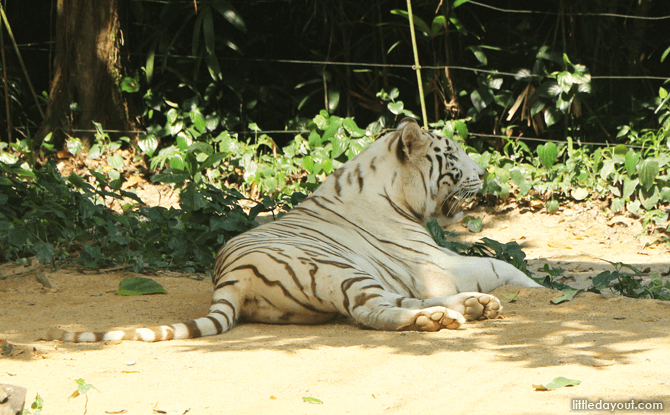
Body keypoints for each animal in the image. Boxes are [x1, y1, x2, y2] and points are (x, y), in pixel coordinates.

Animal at [48, 118, 540, 342]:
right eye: (453, 155)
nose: (485, 171)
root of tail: (230, 277)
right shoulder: (438, 264)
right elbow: (505, 267)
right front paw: (539, 283)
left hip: (359, 276)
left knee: (394, 303)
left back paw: (472, 307)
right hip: (341, 270)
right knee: (373, 312)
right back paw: (439, 319)